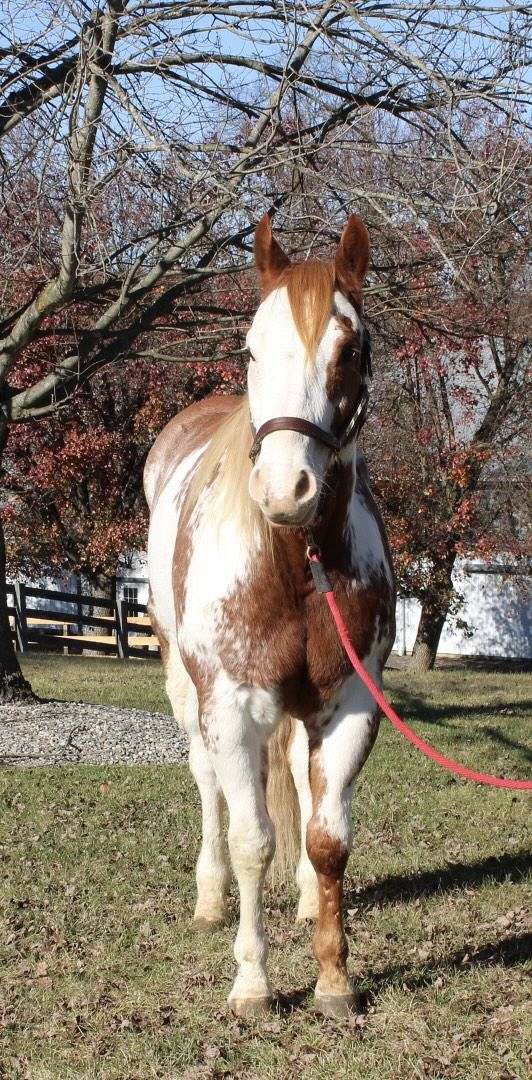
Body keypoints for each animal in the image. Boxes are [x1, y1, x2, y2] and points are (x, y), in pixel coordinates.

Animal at [144, 214, 396, 1018]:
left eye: (352, 347)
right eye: (252, 346)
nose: (287, 489)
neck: (294, 566)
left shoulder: (349, 707)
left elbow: (328, 838)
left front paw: (335, 977)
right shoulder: (229, 705)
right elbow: (253, 837)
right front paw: (253, 982)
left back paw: (310, 902)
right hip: (189, 693)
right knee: (211, 788)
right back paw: (211, 897)